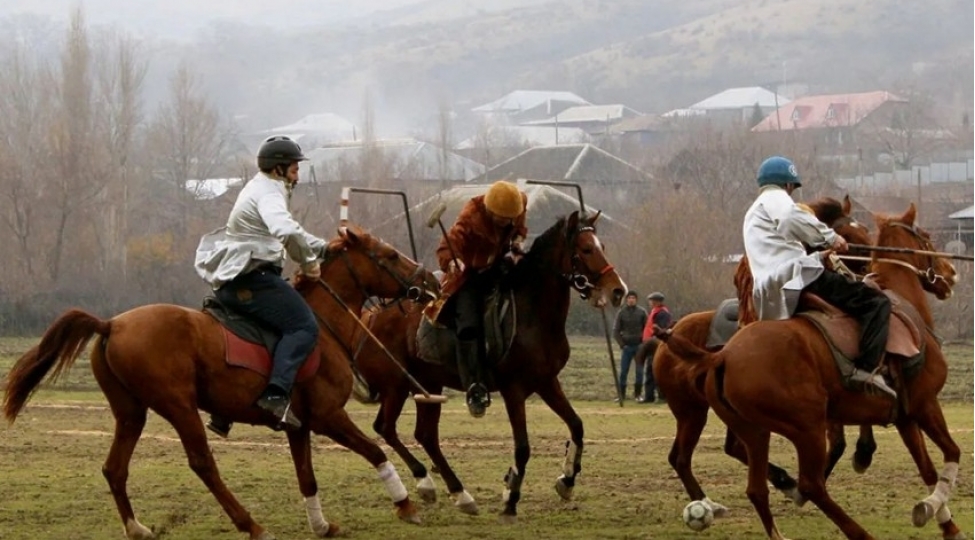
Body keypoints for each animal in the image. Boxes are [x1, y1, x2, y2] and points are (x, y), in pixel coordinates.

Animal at [0, 225, 442, 540]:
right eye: (389, 255)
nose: (432, 282)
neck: (324, 325)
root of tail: (111, 324)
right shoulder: (328, 417)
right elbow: (375, 451)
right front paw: (408, 503)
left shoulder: (298, 426)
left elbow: (307, 476)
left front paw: (321, 525)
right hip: (179, 406)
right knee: (202, 464)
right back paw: (252, 525)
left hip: (131, 413)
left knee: (115, 468)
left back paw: (137, 528)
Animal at [350, 209, 624, 520]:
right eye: (586, 249)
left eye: (602, 246)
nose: (618, 291)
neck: (533, 314)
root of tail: (370, 316)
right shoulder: (514, 390)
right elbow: (522, 447)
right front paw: (510, 497)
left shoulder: (546, 382)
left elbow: (577, 425)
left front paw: (566, 480)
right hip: (396, 385)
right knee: (386, 428)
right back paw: (427, 482)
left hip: (427, 386)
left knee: (425, 435)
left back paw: (458, 493)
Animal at [652, 202, 964, 540]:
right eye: (927, 238)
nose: (951, 274)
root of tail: (722, 356)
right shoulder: (925, 404)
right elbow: (951, 453)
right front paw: (928, 507)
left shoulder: (905, 416)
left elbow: (927, 468)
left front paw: (946, 524)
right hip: (791, 424)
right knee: (808, 484)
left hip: (753, 429)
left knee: (754, 485)